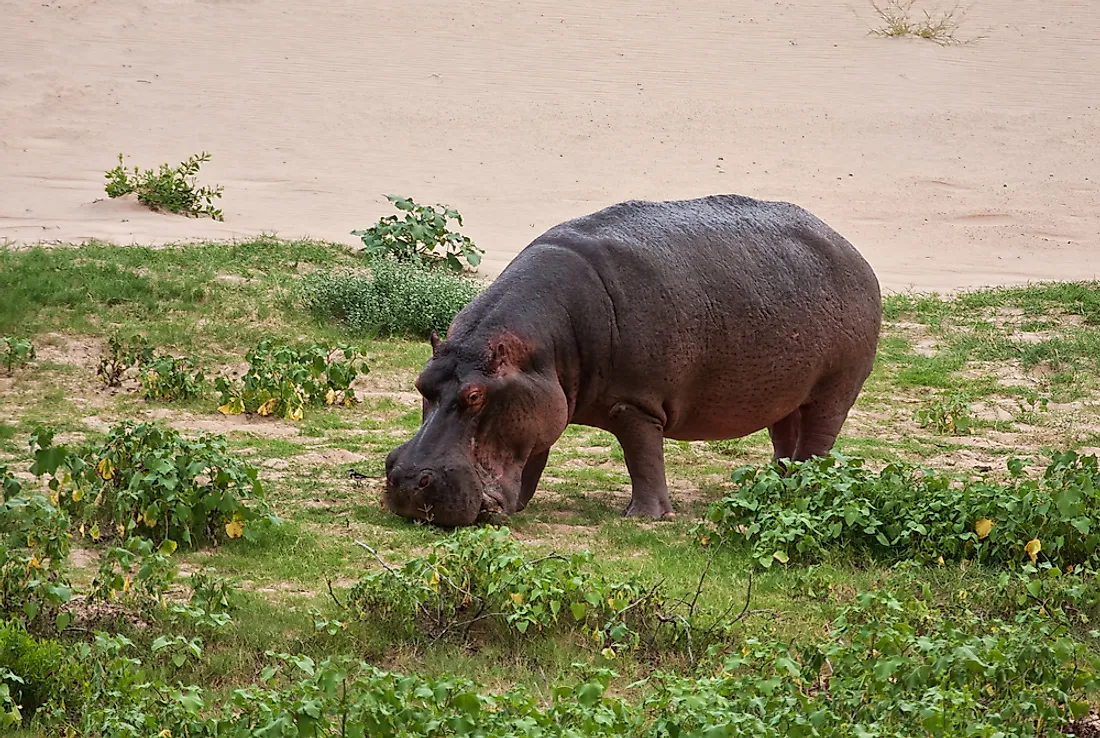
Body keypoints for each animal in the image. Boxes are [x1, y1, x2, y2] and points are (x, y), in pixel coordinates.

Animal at [382, 193, 880, 527]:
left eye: (475, 395)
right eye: (421, 383)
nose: (406, 481)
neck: (542, 345)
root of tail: (851, 248)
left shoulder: (635, 404)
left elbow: (643, 457)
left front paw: (644, 517)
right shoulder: (541, 398)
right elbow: (534, 454)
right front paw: (520, 504)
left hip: (834, 390)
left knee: (818, 441)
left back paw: (802, 494)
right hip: (787, 392)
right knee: (785, 438)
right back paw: (776, 489)